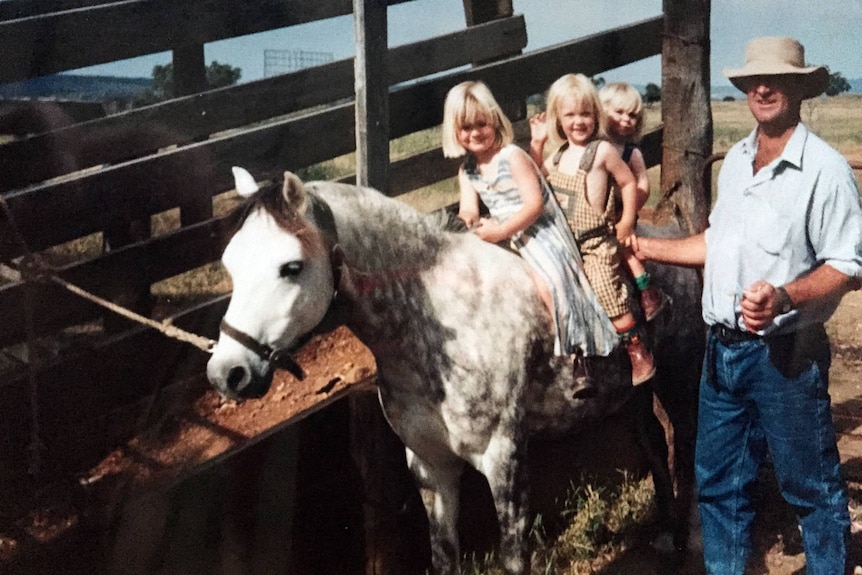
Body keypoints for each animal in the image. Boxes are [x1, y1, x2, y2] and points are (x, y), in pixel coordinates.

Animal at [206, 168, 704, 575]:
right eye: (230, 262)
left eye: (290, 267)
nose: (227, 372)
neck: (440, 322)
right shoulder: (431, 466)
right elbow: (444, 556)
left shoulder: (504, 459)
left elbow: (514, 558)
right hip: (632, 393)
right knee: (654, 442)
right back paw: (665, 533)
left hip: (679, 380)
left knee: (686, 450)